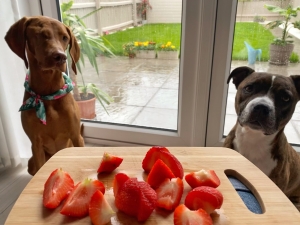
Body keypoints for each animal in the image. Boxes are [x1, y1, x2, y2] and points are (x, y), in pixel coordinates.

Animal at [4, 16, 84, 176]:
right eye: (40, 35)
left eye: (65, 38)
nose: (60, 57)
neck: (48, 94)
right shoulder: (36, 144)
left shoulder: (75, 136)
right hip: (31, 162)